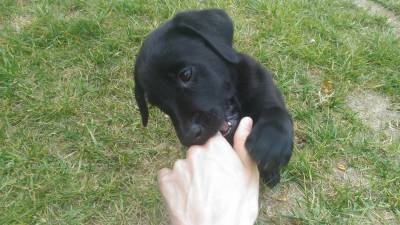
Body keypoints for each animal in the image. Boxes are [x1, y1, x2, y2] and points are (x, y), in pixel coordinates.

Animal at [134, 8, 294, 186]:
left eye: (185, 74)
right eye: (158, 105)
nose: (189, 137)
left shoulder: (262, 84)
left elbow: (276, 111)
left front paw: (271, 142)